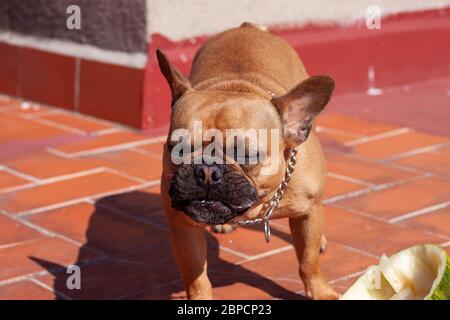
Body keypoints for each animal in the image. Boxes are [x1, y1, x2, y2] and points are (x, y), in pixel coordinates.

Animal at [158, 23, 338, 300]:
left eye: (247, 154)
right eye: (177, 148)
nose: (207, 171)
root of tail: (247, 27)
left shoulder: (308, 213)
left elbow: (308, 261)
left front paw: (320, 291)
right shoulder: (183, 227)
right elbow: (196, 277)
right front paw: (199, 298)